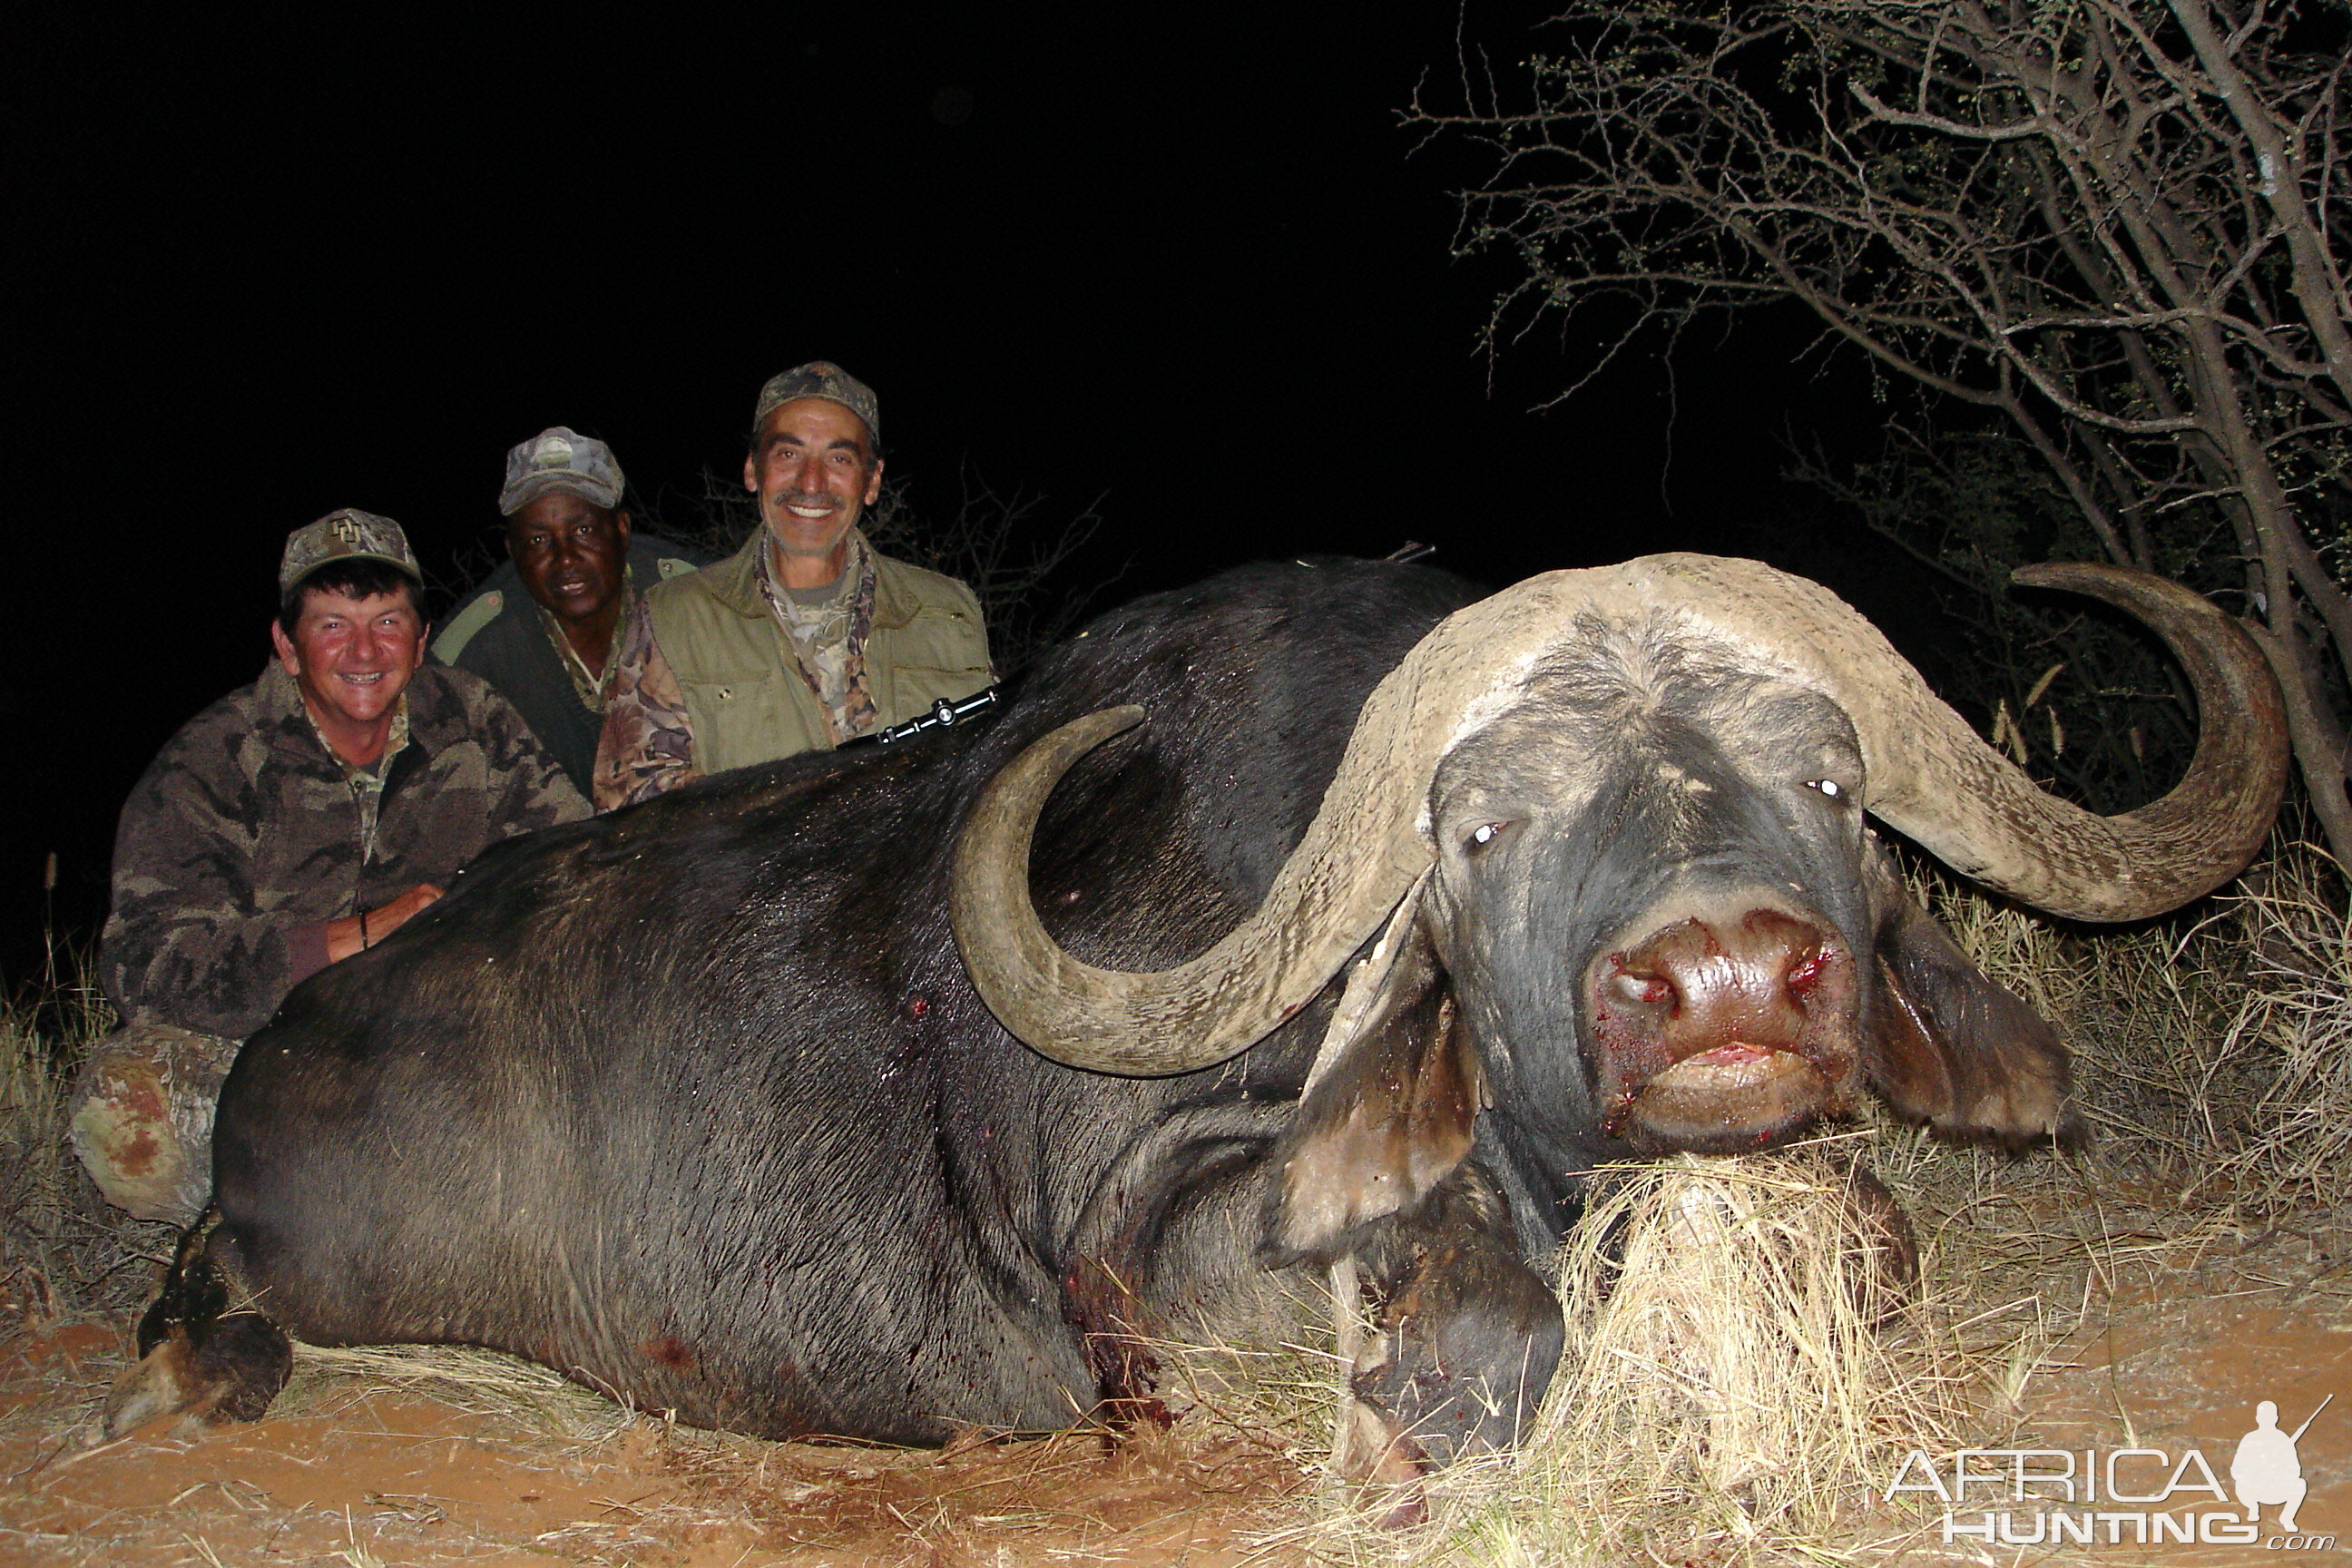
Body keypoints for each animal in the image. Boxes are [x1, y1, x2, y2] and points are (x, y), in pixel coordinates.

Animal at [105, 554, 2277, 1485]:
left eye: (1828, 782)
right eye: (1481, 826)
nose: (1727, 979)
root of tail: (282, 1050)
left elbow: (1868, 1231)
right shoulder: (1162, 1247)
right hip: (303, 1251)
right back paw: (186, 1371)